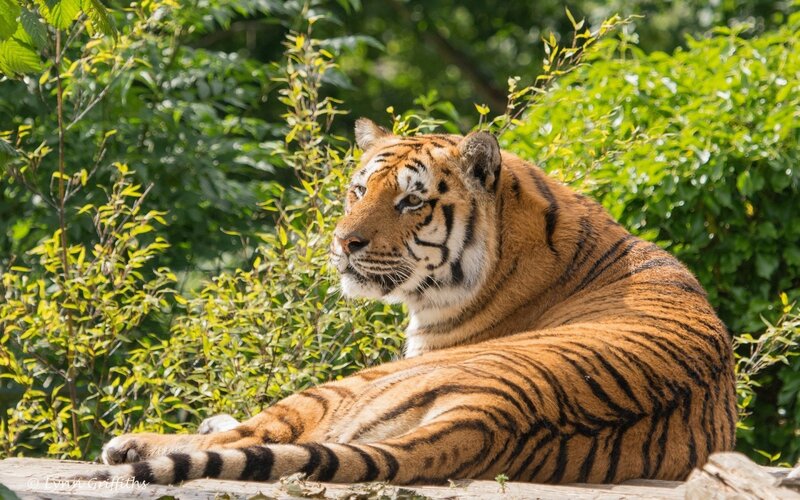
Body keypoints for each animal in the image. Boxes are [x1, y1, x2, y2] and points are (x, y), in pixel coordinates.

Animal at [93, 118, 736, 486]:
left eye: (411, 202)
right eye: (358, 190)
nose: (342, 242)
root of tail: (493, 416)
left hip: (349, 384)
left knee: (253, 437)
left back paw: (131, 444)